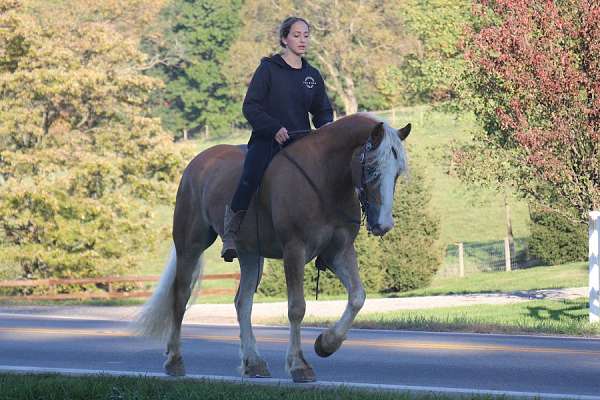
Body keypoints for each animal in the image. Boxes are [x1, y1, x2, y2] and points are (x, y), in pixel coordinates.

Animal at [133, 111, 410, 382]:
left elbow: (357, 297)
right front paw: (299, 364)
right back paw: (175, 360)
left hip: (249, 255)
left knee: (242, 302)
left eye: (397, 173)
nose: (384, 224)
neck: (324, 179)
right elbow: (297, 308)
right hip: (190, 244)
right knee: (181, 296)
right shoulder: (294, 250)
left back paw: (253, 361)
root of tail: (196, 163)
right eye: (372, 168)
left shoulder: (338, 253)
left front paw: (326, 343)